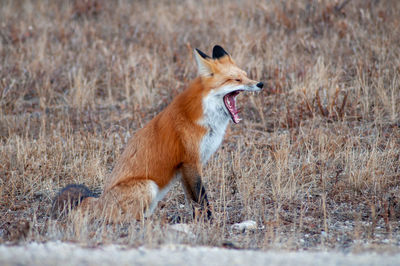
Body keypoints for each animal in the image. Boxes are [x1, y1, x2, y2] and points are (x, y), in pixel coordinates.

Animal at [51, 44, 264, 221]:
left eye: (246, 75)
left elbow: (192, 200)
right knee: (127, 219)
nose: (260, 84)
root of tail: (99, 201)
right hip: (148, 186)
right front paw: (210, 221)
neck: (205, 117)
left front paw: (198, 220)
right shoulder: (190, 161)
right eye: (236, 79)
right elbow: (201, 197)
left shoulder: (187, 167)